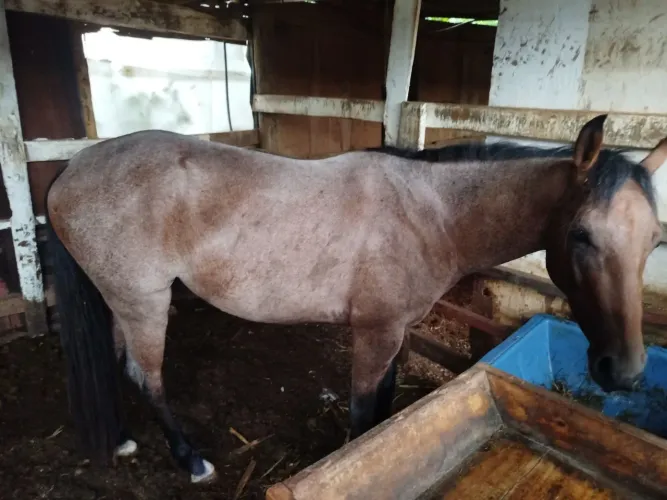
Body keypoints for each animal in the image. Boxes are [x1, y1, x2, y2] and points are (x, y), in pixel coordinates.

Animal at [45, 114, 666, 483]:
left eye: (654, 239)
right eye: (582, 236)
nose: (625, 371)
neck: (432, 214)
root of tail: (73, 168)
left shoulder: (391, 332)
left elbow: (385, 406)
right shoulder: (375, 332)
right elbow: (366, 411)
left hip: (122, 299)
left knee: (120, 365)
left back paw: (123, 439)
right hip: (146, 301)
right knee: (147, 375)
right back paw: (191, 459)